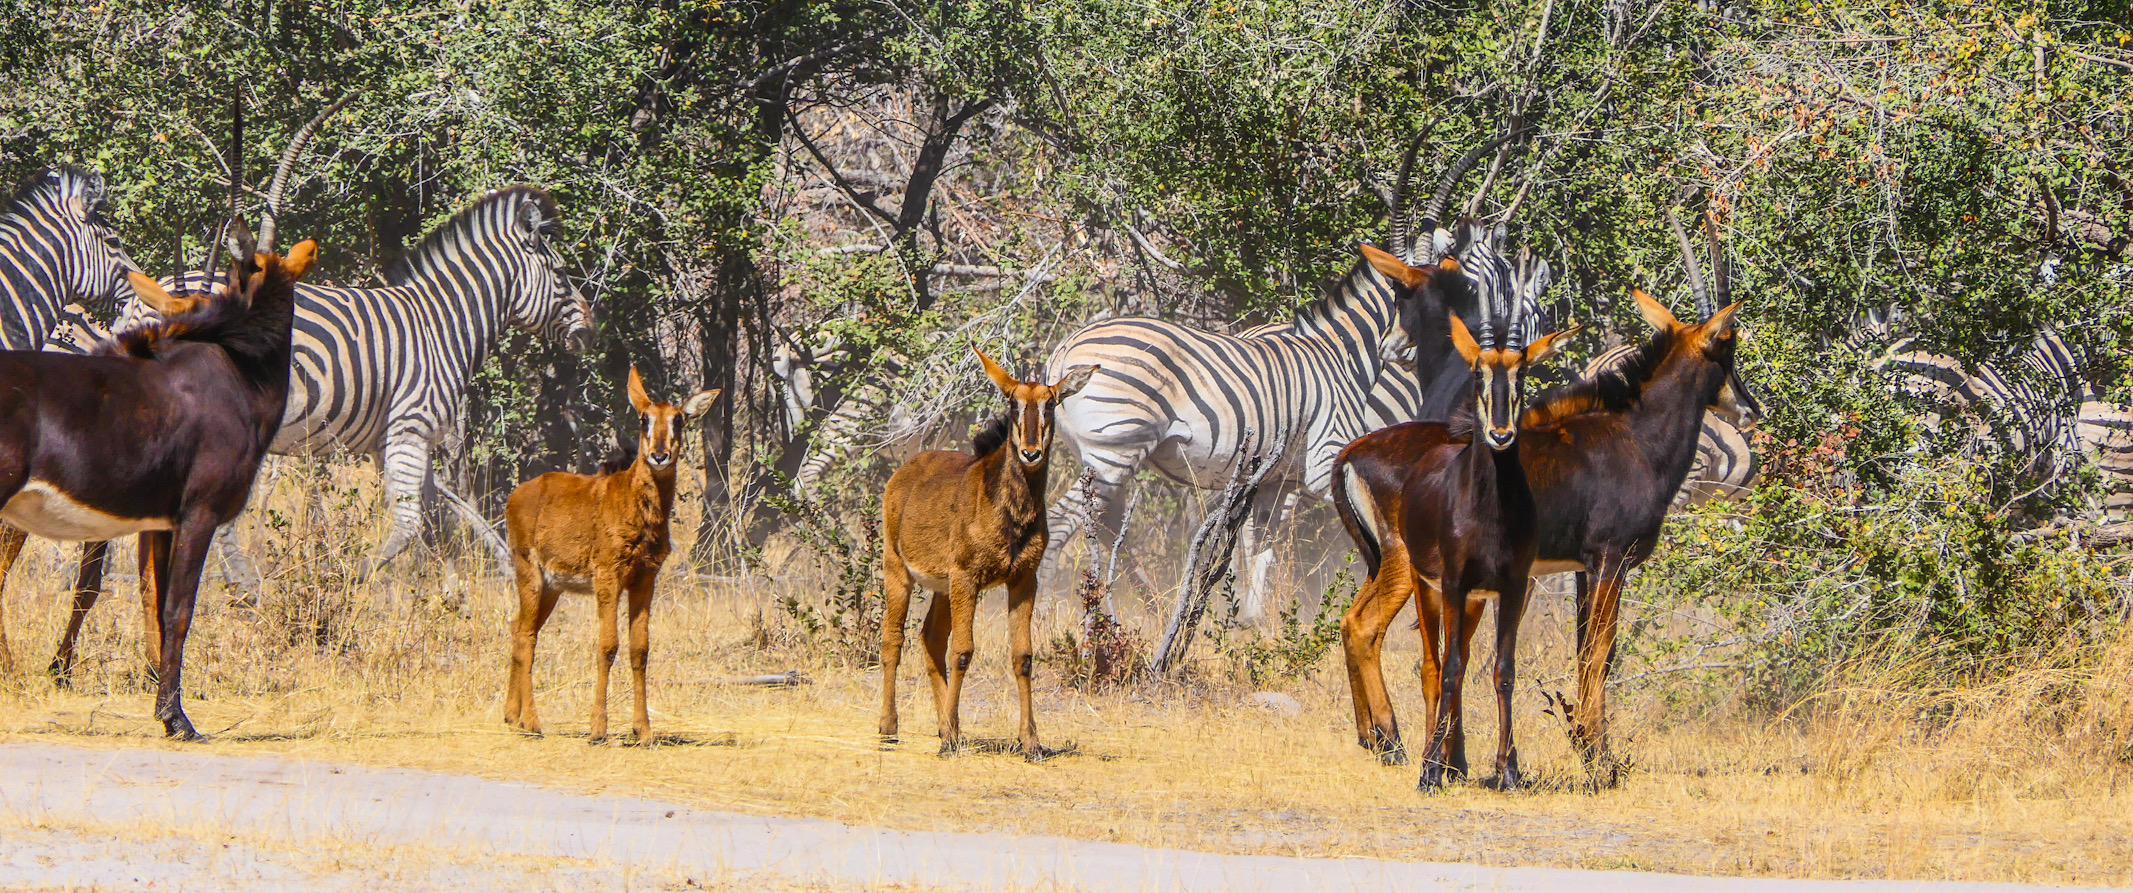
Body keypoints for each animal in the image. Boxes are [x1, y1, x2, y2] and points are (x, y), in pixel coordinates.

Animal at [0, 226, 317, 737]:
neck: (237, 365)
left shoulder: (161, 522)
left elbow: (155, 600)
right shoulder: (199, 513)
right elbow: (178, 609)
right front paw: (176, 718)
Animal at [122, 189, 597, 579]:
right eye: (560, 274)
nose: (591, 330)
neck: (440, 325)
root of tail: (150, 296)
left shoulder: (397, 437)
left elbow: (439, 516)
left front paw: (450, 589)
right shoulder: (411, 425)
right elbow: (409, 524)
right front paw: (354, 580)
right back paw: (238, 584)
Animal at [503, 366, 720, 745]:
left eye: (679, 420)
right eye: (644, 418)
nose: (659, 455)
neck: (641, 509)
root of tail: (514, 497)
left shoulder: (645, 578)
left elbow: (639, 649)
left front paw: (643, 730)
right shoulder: (607, 575)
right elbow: (607, 645)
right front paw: (598, 729)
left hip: (552, 587)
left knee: (519, 628)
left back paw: (511, 718)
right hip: (528, 571)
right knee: (527, 635)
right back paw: (532, 722)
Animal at [878, 345, 1100, 758]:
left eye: (1051, 403)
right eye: (1013, 402)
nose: (1031, 453)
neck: (1010, 512)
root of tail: (904, 471)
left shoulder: (1023, 580)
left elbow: (1023, 656)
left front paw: (1030, 740)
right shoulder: (968, 577)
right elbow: (963, 651)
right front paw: (950, 741)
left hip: (943, 586)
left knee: (931, 638)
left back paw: (945, 727)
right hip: (897, 569)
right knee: (893, 637)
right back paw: (889, 728)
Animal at [1330, 304, 1586, 792]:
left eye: (1523, 375)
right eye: (1477, 376)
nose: (1501, 433)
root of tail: (1351, 453)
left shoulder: (1500, 587)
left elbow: (1480, 663)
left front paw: (1471, 762)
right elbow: (1452, 664)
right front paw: (1448, 763)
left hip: (1387, 566)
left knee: (1352, 619)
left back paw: (1372, 737)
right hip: (1403, 566)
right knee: (1366, 626)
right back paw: (1392, 741)